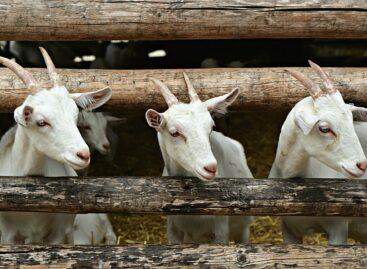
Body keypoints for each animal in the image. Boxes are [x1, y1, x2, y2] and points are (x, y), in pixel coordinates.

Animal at [145, 73, 254, 243]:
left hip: (243, 228)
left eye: (211, 127)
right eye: (174, 133)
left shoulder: (221, 229)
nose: (210, 167)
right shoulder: (173, 229)